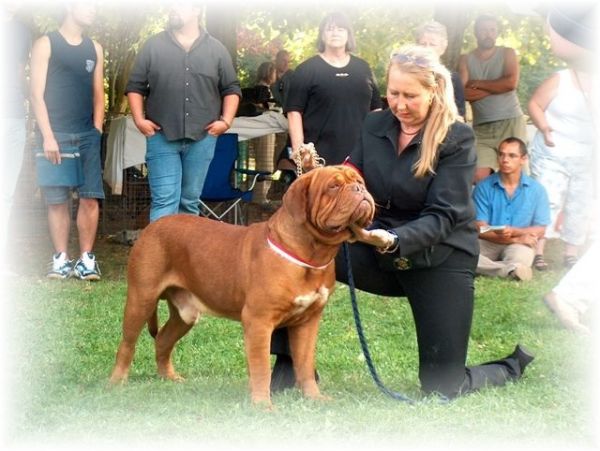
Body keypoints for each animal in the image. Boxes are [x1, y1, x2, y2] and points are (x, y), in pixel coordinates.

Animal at [109, 164, 372, 408]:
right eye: (333, 186)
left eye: (359, 181)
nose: (360, 189)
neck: (310, 253)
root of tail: (151, 226)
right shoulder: (259, 321)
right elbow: (261, 367)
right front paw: (263, 405)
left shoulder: (308, 322)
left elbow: (305, 363)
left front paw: (314, 397)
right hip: (141, 299)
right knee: (127, 344)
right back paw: (116, 382)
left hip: (185, 313)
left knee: (163, 339)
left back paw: (169, 378)